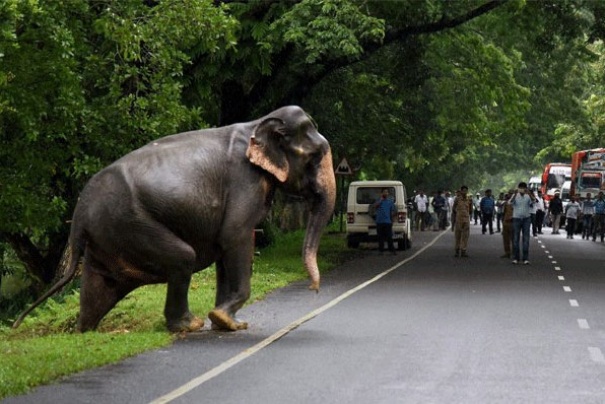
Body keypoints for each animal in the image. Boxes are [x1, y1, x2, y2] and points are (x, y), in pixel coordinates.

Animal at [13, 105, 336, 332]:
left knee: (99, 286)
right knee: (182, 258)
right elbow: (235, 236)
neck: (258, 122)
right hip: (129, 223)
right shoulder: (244, 182)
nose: (314, 289)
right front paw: (226, 320)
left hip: (106, 237)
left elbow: (224, 249)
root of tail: (78, 215)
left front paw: (225, 322)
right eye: (314, 157)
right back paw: (188, 325)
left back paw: (84, 331)